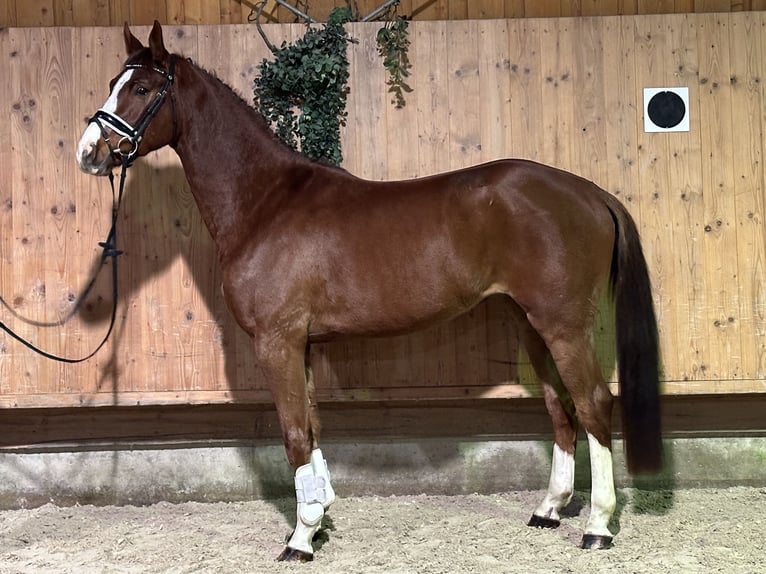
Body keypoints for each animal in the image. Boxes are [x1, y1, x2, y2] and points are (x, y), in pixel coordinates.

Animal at [79, 22, 664, 564]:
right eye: (111, 83)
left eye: (141, 88)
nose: (90, 151)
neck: (265, 202)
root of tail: (588, 192)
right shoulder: (302, 345)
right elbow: (313, 426)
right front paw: (320, 518)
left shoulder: (277, 341)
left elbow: (294, 434)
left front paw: (300, 539)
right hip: (532, 325)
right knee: (560, 406)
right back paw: (548, 510)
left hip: (563, 325)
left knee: (593, 403)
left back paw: (598, 527)